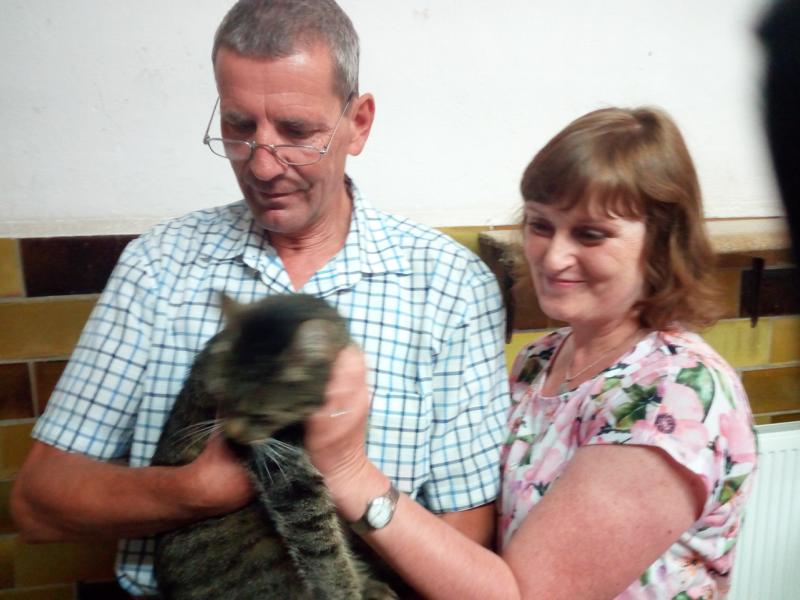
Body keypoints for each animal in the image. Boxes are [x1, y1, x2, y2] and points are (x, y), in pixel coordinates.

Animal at [150, 293, 398, 600]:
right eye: (224, 398)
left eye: (262, 416)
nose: (232, 435)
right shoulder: (288, 473)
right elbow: (323, 548)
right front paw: (345, 591)